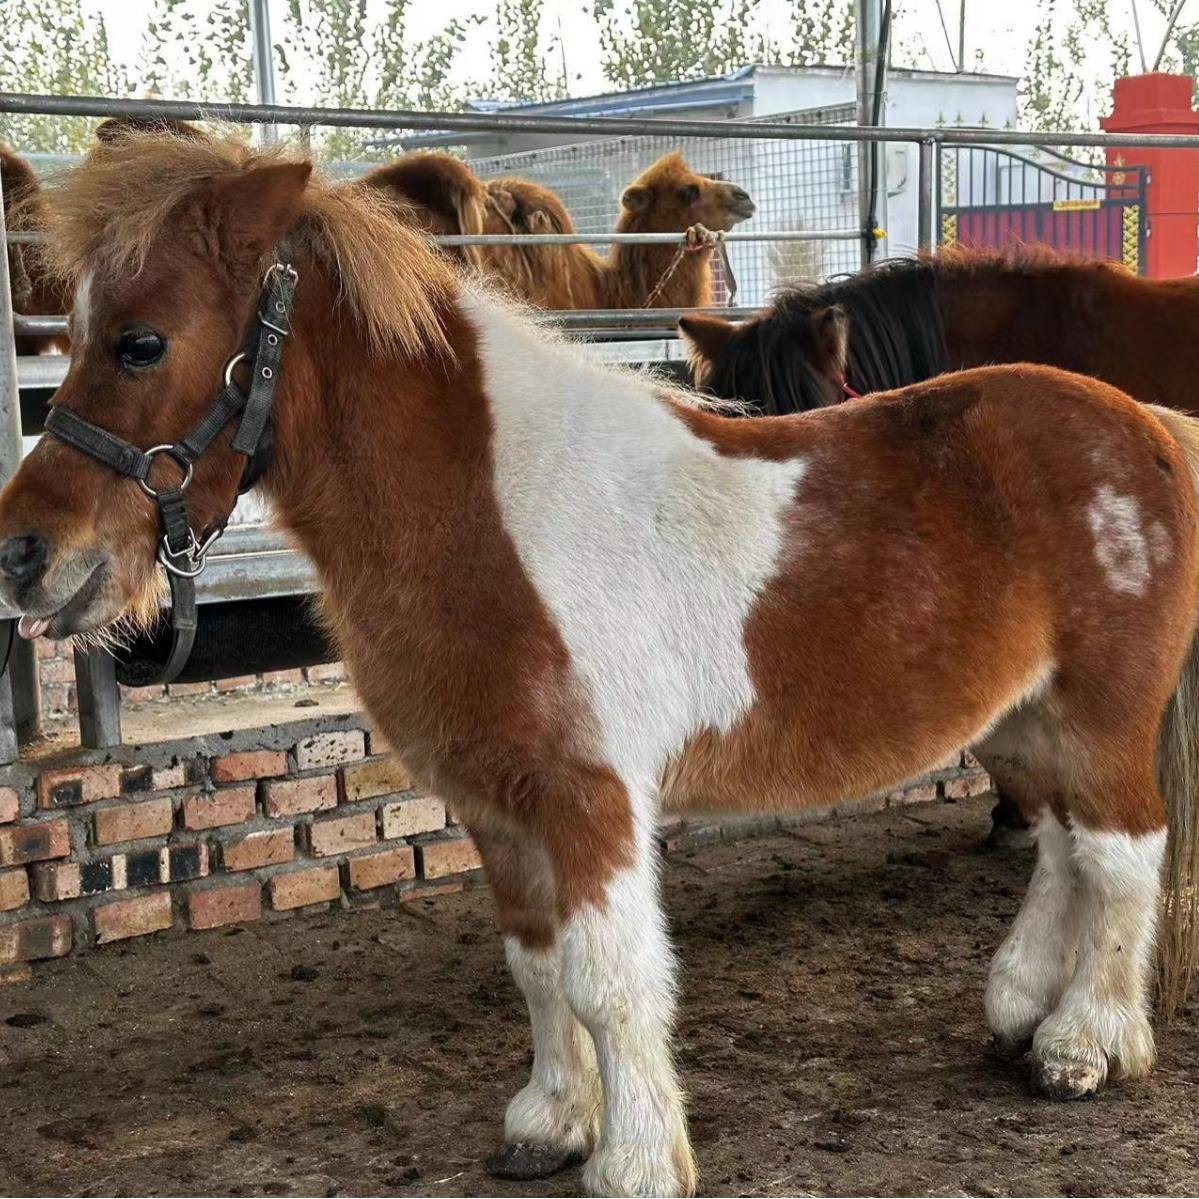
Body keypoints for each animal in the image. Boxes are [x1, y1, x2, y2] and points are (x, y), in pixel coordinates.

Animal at [4, 132, 1199, 1197]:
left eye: (142, 342)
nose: (23, 553)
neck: (493, 516)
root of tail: (1144, 424)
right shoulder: (495, 804)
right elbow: (537, 965)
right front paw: (549, 1121)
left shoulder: (589, 799)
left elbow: (607, 974)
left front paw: (634, 1159)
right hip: (1025, 718)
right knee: (1064, 847)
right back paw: (1019, 1009)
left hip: (1099, 713)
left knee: (1120, 852)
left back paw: (1084, 1046)